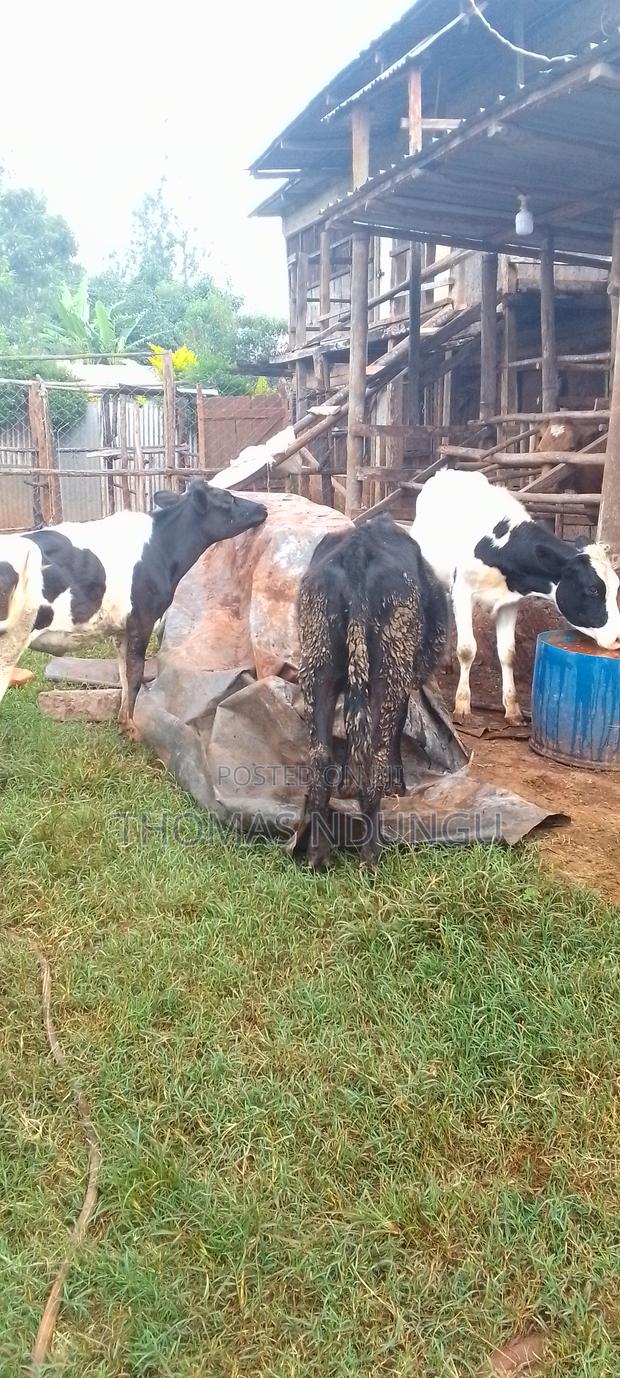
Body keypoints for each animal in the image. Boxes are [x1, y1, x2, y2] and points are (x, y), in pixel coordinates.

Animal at [0, 481, 267, 735]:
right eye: (228, 498)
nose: (263, 507)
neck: (161, 550)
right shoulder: (143, 620)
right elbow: (136, 676)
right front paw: (132, 730)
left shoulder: (122, 630)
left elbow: (124, 676)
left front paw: (124, 722)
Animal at [298, 515, 448, 868]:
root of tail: (357, 553)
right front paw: (399, 786)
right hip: (388, 674)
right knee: (374, 758)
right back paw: (371, 856)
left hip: (318, 668)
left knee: (321, 758)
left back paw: (318, 856)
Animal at [410, 468, 620, 726]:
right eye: (593, 589)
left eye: (616, 586)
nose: (617, 638)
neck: (500, 547)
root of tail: (448, 471)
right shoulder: (463, 591)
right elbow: (468, 649)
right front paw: (462, 706)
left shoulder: (510, 603)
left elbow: (508, 653)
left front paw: (512, 709)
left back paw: (447, 662)